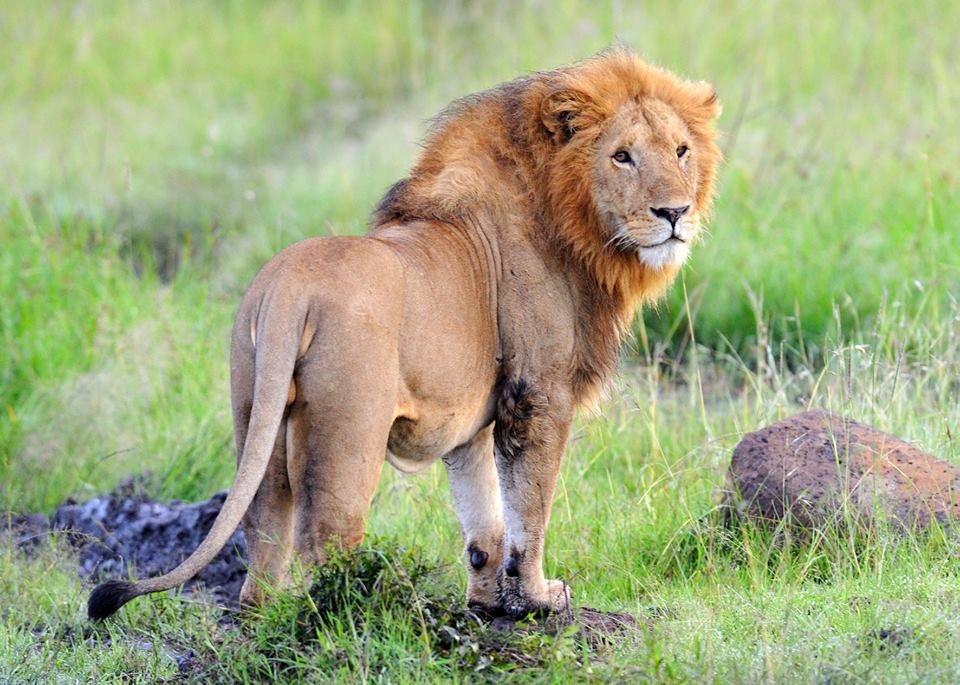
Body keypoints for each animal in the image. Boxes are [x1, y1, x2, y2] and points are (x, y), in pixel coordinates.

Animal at [90, 49, 720, 620]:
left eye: (681, 151)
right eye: (622, 156)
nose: (674, 213)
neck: (577, 227)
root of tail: (289, 283)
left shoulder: (472, 415)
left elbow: (484, 517)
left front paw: (488, 602)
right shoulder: (537, 396)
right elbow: (530, 509)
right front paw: (539, 598)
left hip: (254, 411)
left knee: (263, 539)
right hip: (349, 430)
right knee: (326, 540)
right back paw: (354, 616)